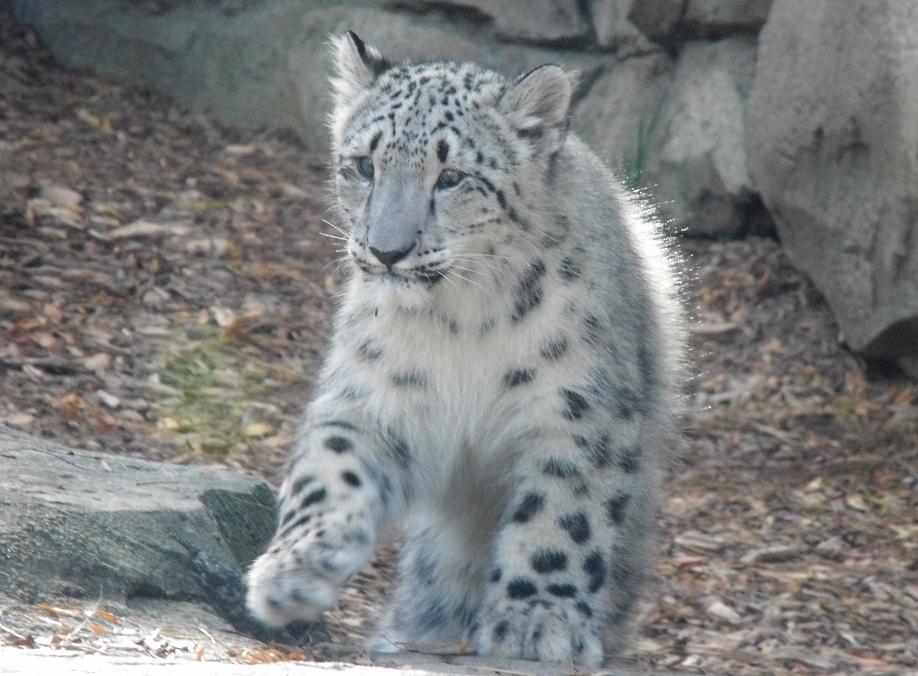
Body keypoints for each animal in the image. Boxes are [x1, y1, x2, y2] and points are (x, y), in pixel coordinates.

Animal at [245, 31, 686, 668]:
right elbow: (332, 469)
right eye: (363, 166)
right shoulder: (373, 392)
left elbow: (560, 514)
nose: (386, 250)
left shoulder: (578, 412)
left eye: (451, 176)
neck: (461, 321)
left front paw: (538, 618)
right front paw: (293, 570)